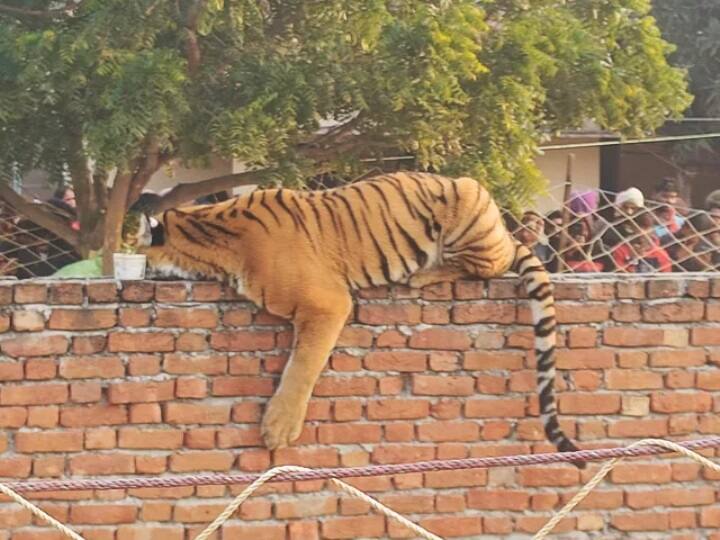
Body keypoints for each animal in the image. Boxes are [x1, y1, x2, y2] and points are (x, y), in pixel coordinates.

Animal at [132, 171, 584, 462]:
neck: (209, 235)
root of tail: (505, 230)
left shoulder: (327, 302)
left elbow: (302, 365)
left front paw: (278, 428)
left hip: (470, 204)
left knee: (493, 264)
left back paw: (425, 273)